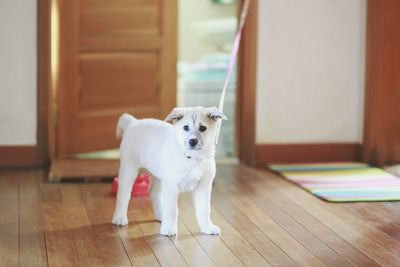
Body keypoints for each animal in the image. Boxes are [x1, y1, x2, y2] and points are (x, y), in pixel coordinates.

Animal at [111, 107, 225, 237]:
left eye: (203, 128)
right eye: (186, 127)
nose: (192, 141)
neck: (192, 158)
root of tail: (134, 122)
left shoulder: (203, 187)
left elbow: (204, 210)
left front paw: (207, 227)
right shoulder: (171, 187)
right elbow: (172, 210)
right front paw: (169, 228)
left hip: (159, 176)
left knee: (154, 194)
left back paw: (161, 216)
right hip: (129, 169)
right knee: (123, 195)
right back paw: (119, 218)